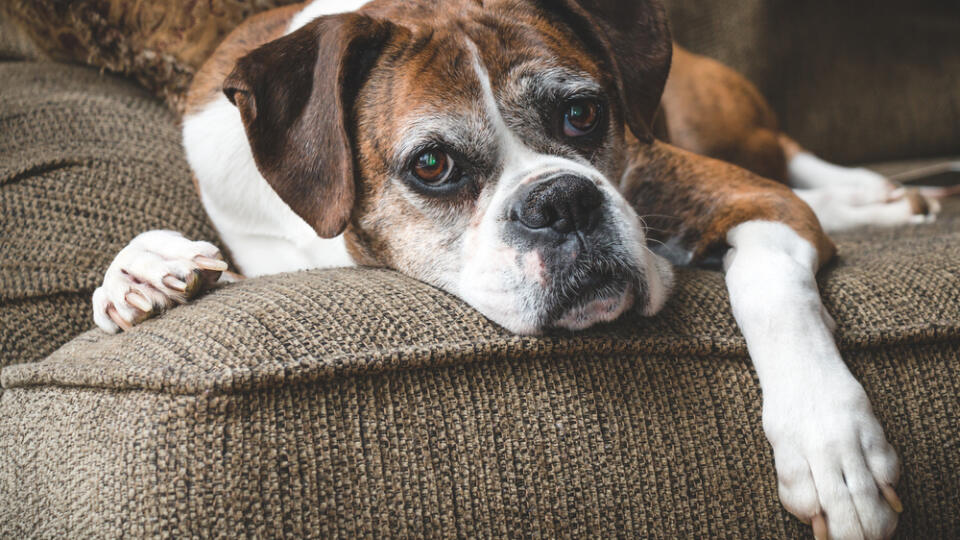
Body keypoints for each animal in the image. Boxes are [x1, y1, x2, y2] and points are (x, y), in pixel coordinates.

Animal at [88, 2, 928, 536]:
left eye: (584, 114)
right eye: (431, 165)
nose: (561, 201)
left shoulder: (754, 201)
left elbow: (769, 287)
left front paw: (829, 444)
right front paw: (145, 274)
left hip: (724, 124)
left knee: (789, 154)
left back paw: (882, 197)